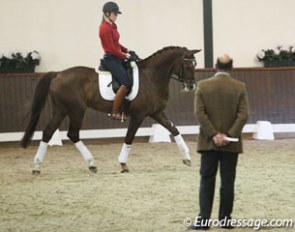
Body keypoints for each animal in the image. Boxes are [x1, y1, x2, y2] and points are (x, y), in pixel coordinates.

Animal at [20, 46, 201, 175]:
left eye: (195, 65)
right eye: (186, 65)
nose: (191, 86)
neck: (151, 77)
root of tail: (57, 74)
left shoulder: (156, 113)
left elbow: (174, 130)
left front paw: (187, 158)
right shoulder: (139, 115)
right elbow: (129, 138)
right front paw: (123, 164)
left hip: (61, 110)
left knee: (48, 133)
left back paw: (37, 167)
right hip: (76, 110)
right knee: (72, 134)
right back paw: (91, 164)